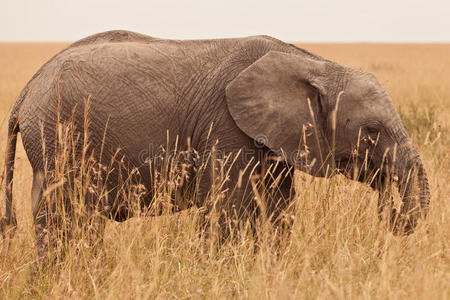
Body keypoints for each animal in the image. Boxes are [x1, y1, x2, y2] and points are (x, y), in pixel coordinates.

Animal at [2, 29, 428, 247]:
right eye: (371, 131)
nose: (392, 216)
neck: (314, 64)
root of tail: (29, 87)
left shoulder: (271, 140)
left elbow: (278, 210)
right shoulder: (226, 129)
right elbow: (228, 212)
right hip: (57, 140)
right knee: (63, 218)